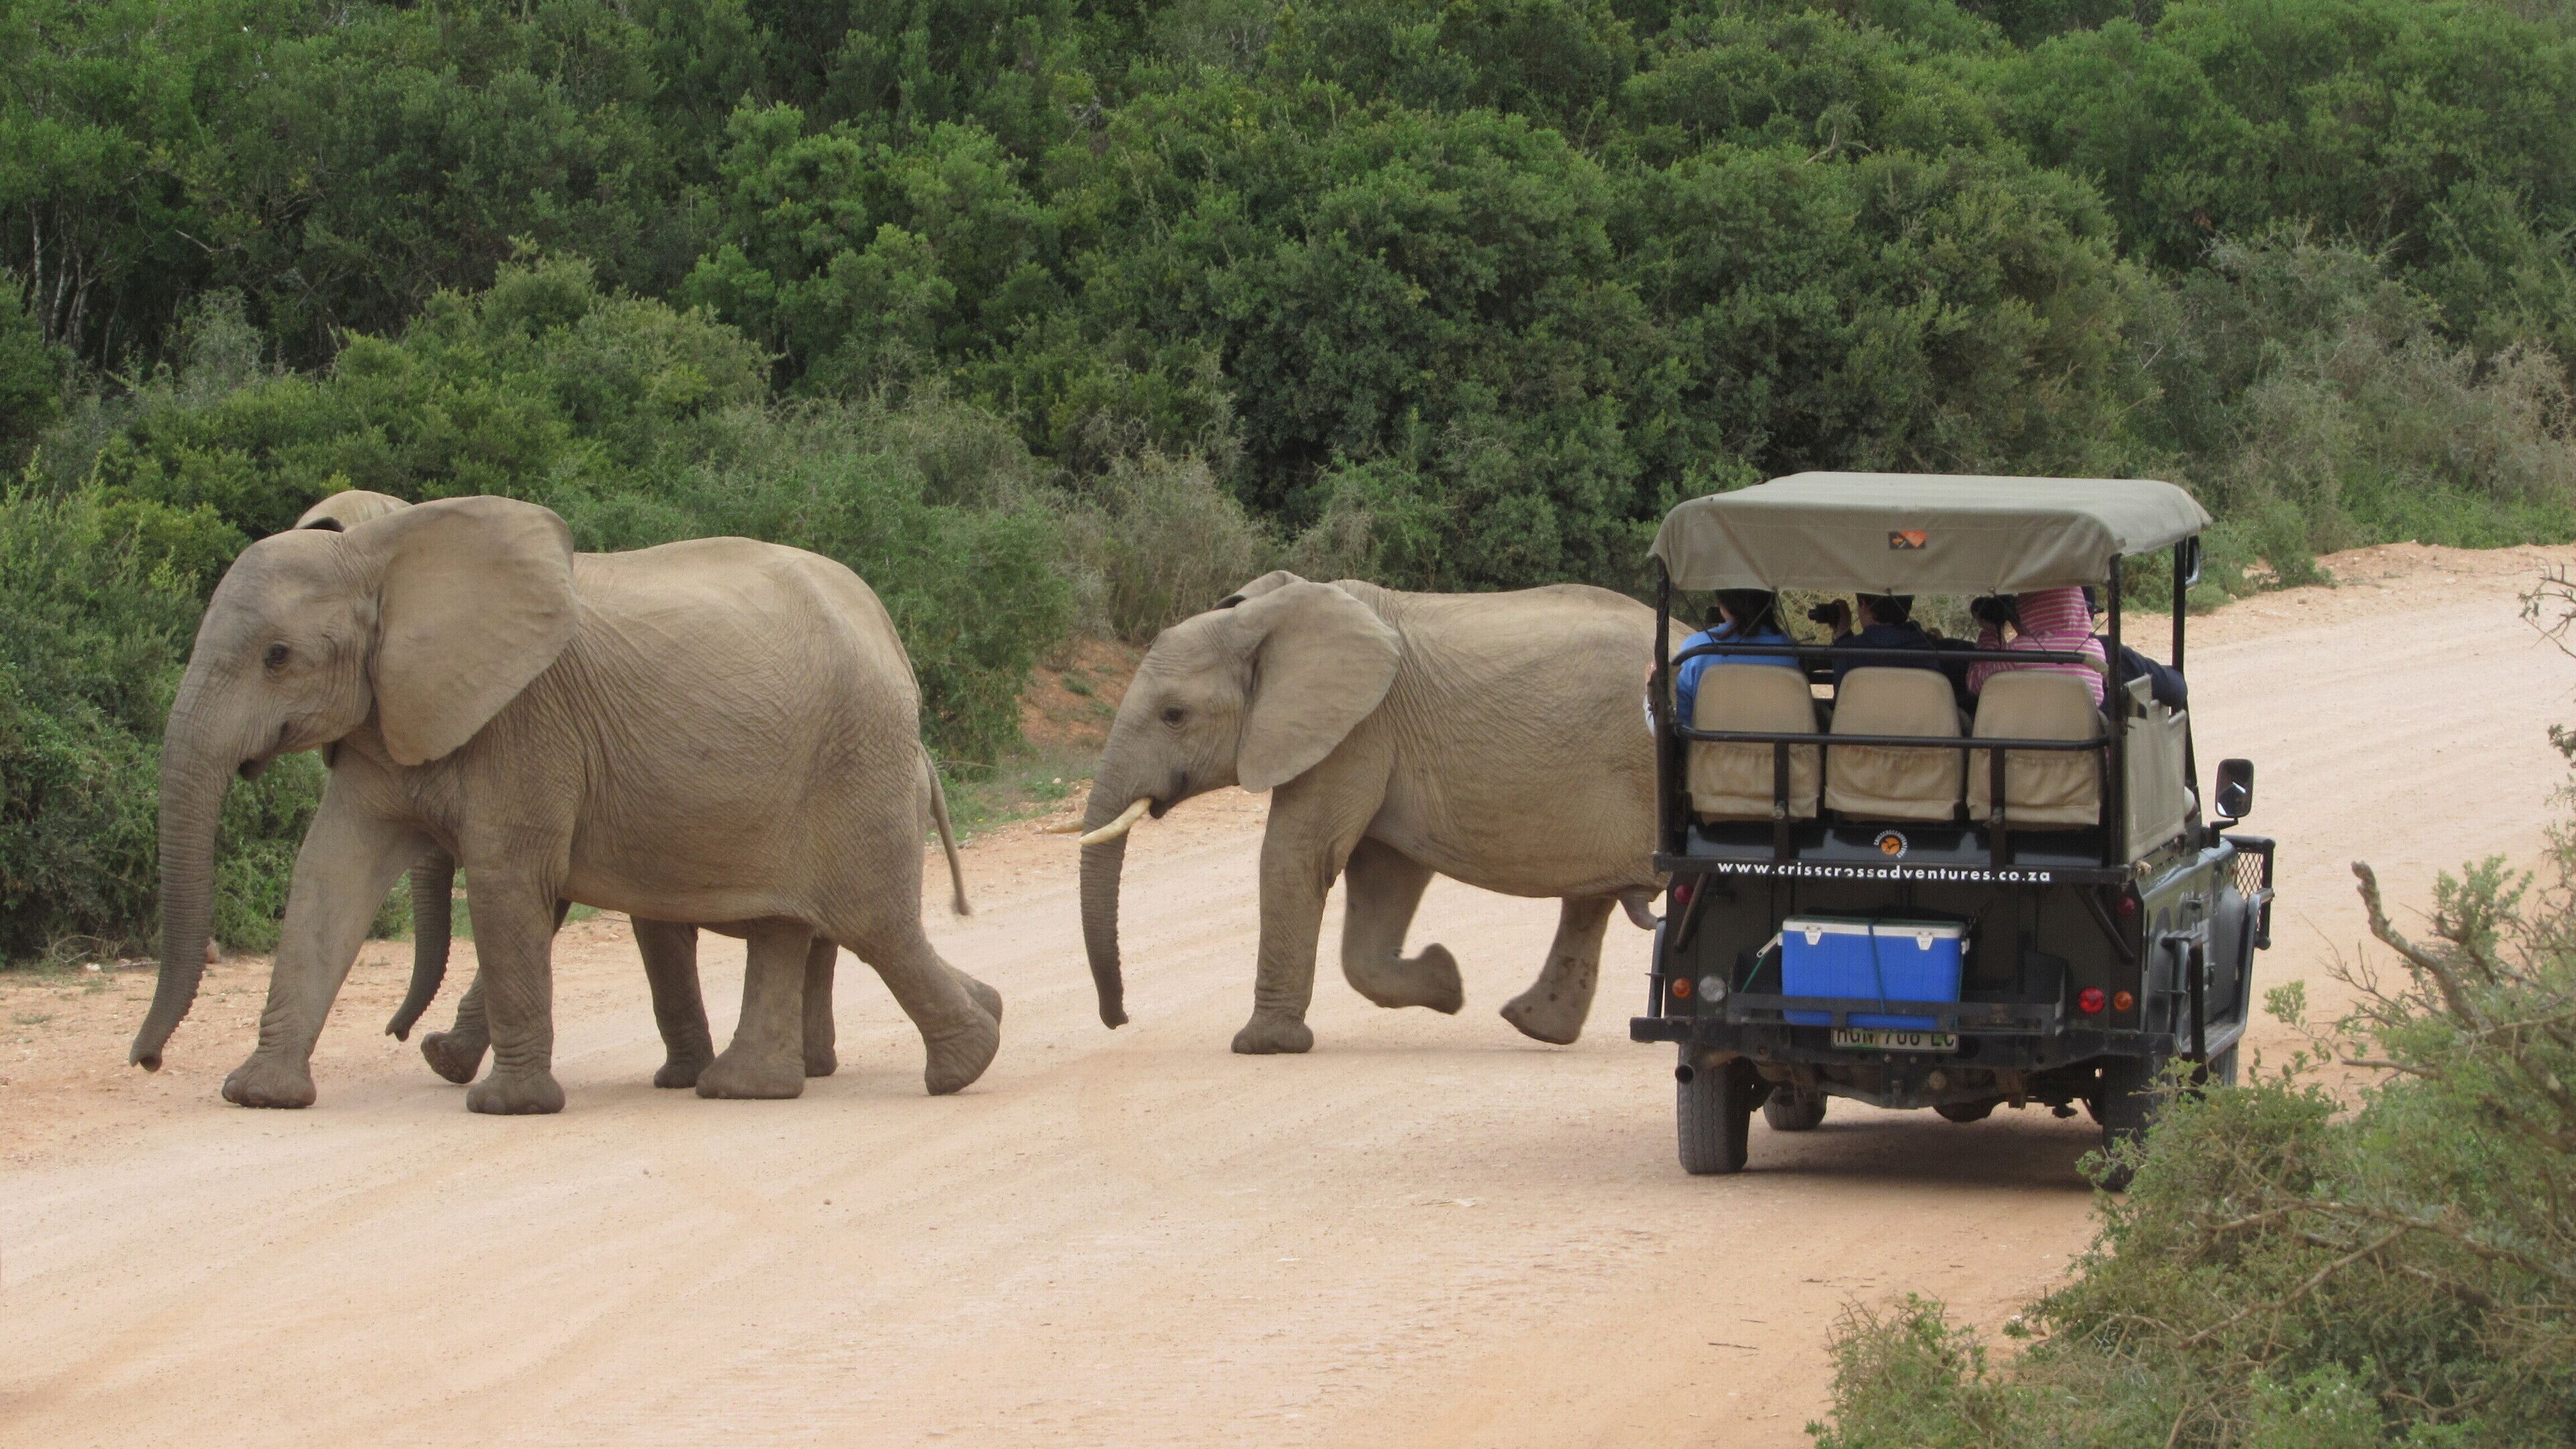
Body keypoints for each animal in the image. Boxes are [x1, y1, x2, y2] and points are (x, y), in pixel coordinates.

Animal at [131, 493, 1001, 1112]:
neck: (389, 552)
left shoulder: (526, 723)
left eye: (278, 657)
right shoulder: (389, 715)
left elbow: (507, 882)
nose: (146, 1059)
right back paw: (752, 1084)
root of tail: (888, 632)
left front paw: (504, 1105)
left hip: (852, 762)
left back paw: (964, 1062)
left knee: (872, 922)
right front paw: (260, 1095)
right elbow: (328, 874)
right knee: (788, 925)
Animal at [1069, 570, 1664, 1054]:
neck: (1269, 615)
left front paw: (1263, 1047)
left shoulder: (1358, 730)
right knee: (1589, 902)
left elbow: (1296, 857)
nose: (1120, 1020)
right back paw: (1535, 1026)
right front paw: (1448, 984)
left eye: (1174, 715)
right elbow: (1382, 878)